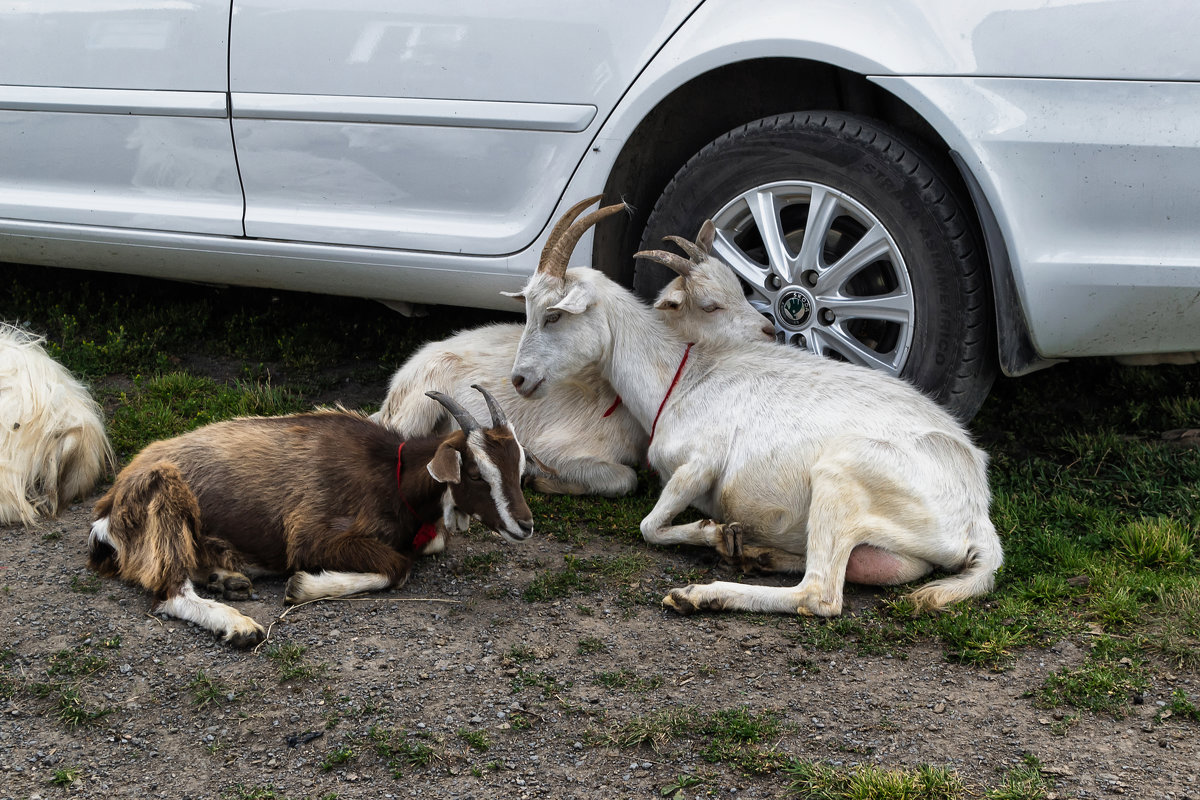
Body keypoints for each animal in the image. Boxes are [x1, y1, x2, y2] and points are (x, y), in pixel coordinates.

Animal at [87, 388, 530, 652]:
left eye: (518, 466)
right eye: (476, 473)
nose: (524, 525)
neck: (392, 473)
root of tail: (108, 507)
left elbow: (429, 544)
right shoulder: (310, 535)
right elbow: (397, 566)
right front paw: (302, 586)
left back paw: (224, 578)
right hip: (163, 490)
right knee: (168, 593)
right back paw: (238, 624)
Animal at [369, 194, 772, 494]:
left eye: (552, 315)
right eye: (711, 306)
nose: (770, 331)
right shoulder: (559, 447)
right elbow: (623, 480)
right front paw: (538, 475)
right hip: (417, 406)